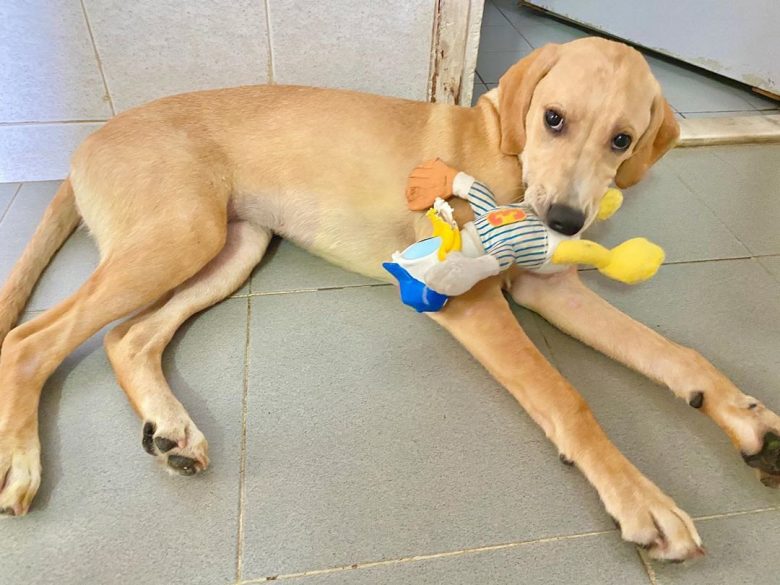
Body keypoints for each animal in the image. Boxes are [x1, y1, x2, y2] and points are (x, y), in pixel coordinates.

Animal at [1, 37, 780, 560]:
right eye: (553, 118)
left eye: (622, 139)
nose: (565, 222)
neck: (503, 148)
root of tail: (85, 145)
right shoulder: (469, 300)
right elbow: (568, 396)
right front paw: (641, 498)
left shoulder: (551, 286)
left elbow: (676, 353)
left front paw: (745, 417)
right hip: (180, 234)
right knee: (29, 340)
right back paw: (22, 462)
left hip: (232, 244)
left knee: (125, 337)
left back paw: (172, 429)